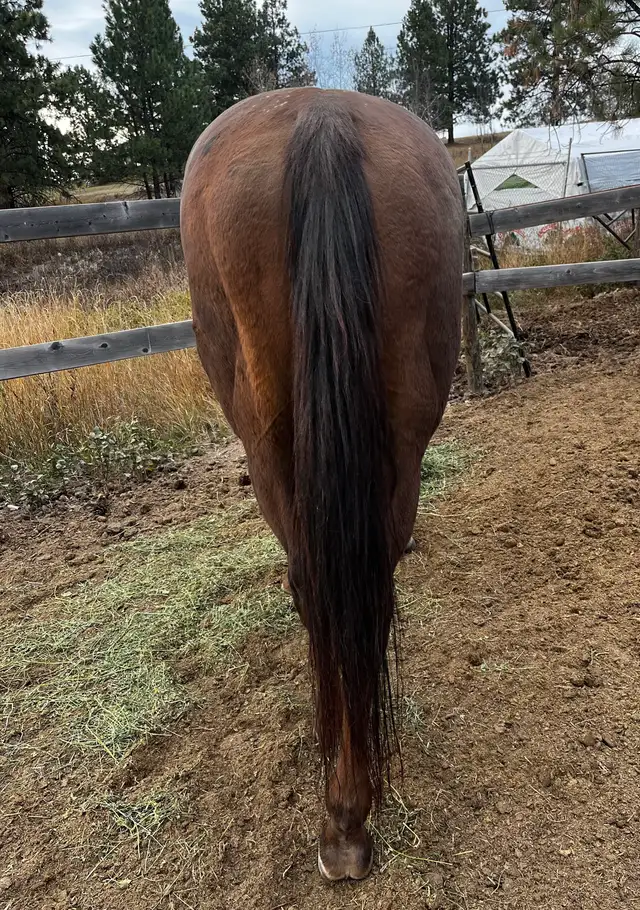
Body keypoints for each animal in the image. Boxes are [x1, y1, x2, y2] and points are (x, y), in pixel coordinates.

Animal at [180, 87, 463, 882]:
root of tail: (323, 116)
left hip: (265, 436)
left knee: (317, 588)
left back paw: (343, 817)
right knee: (363, 585)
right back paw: (351, 806)